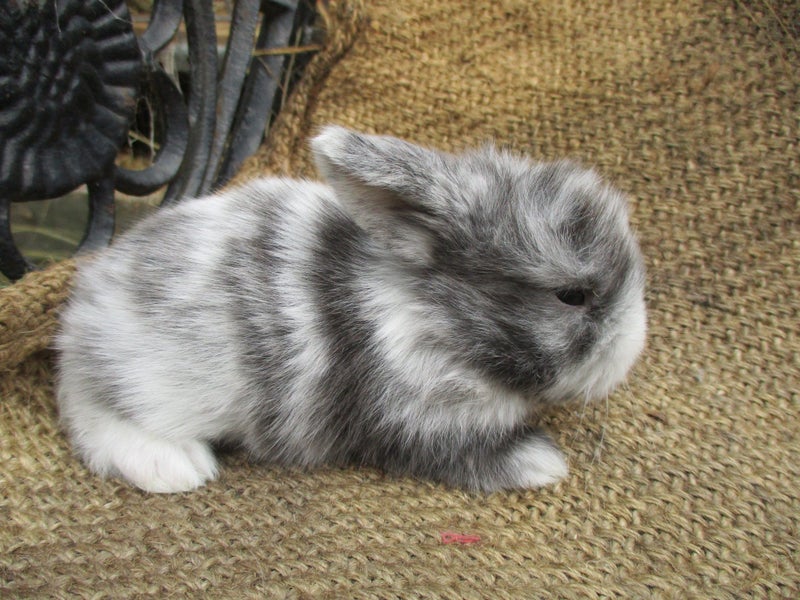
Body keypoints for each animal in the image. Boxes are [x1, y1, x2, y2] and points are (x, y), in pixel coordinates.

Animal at [55, 126, 647, 494]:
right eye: (571, 295)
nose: (633, 347)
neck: (434, 314)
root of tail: (85, 311)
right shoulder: (424, 417)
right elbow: (470, 451)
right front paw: (543, 465)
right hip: (142, 382)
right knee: (92, 413)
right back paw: (177, 469)